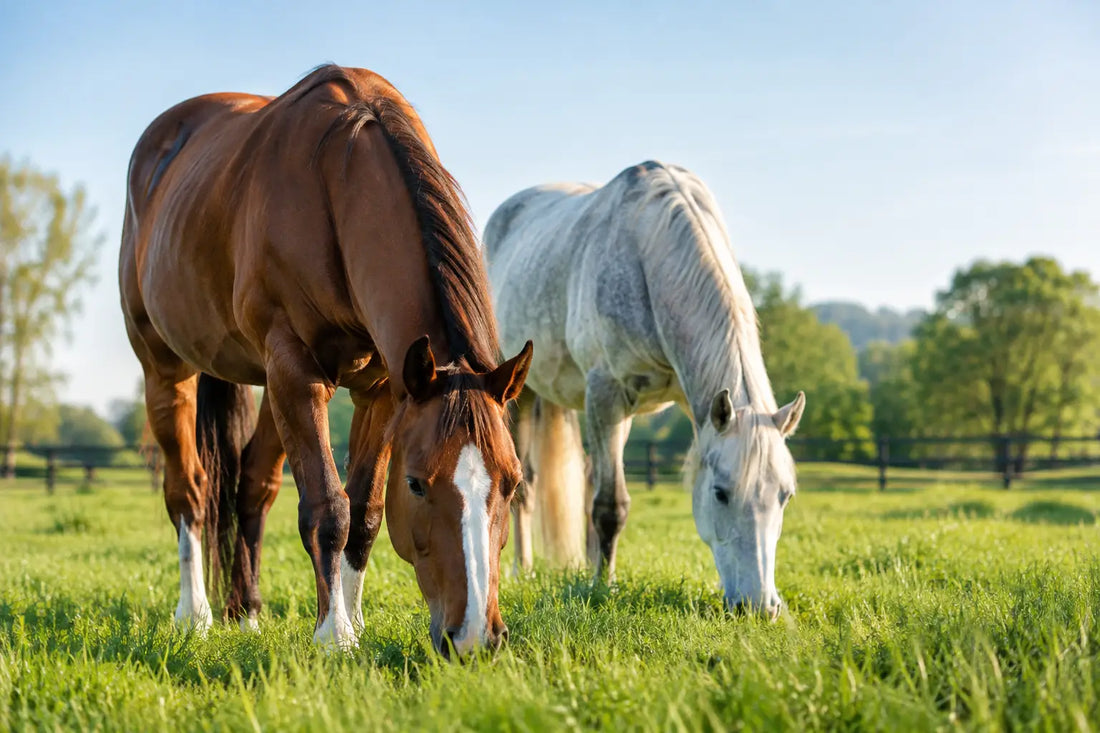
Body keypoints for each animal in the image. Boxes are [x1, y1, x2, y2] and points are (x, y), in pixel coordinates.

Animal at [119, 65, 531, 656]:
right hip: (168, 370)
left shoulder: (382, 388)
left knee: (252, 488)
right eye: (416, 484)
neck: (336, 183)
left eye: (512, 482)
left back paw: (245, 612)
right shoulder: (297, 371)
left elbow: (363, 512)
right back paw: (193, 614)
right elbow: (327, 508)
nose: (475, 636)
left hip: (271, 388)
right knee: (189, 491)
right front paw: (334, 636)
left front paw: (353, 620)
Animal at [484, 161, 805, 616]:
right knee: (525, 485)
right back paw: (522, 570)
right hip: (525, 395)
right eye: (721, 494)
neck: (648, 256)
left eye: (785, 496)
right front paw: (603, 586)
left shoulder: (690, 405)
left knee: (586, 474)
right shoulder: (606, 396)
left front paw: (596, 573)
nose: (758, 605)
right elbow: (610, 507)